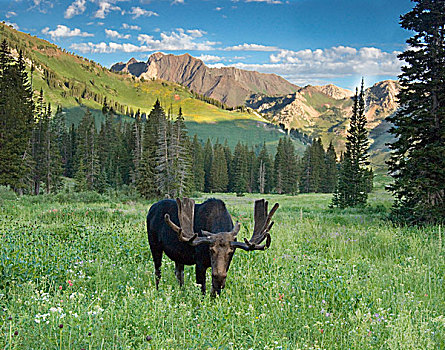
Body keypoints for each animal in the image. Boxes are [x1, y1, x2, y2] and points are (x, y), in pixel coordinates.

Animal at [146, 197, 278, 296]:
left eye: (231, 252)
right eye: (211, 249)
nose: (219, 277)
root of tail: (151, 208)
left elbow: (215, 292)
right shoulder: (199, 262)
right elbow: (202, 289)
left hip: (178, 256)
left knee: (179, 273)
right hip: (154, 246)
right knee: (158, 272)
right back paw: (158, 291)